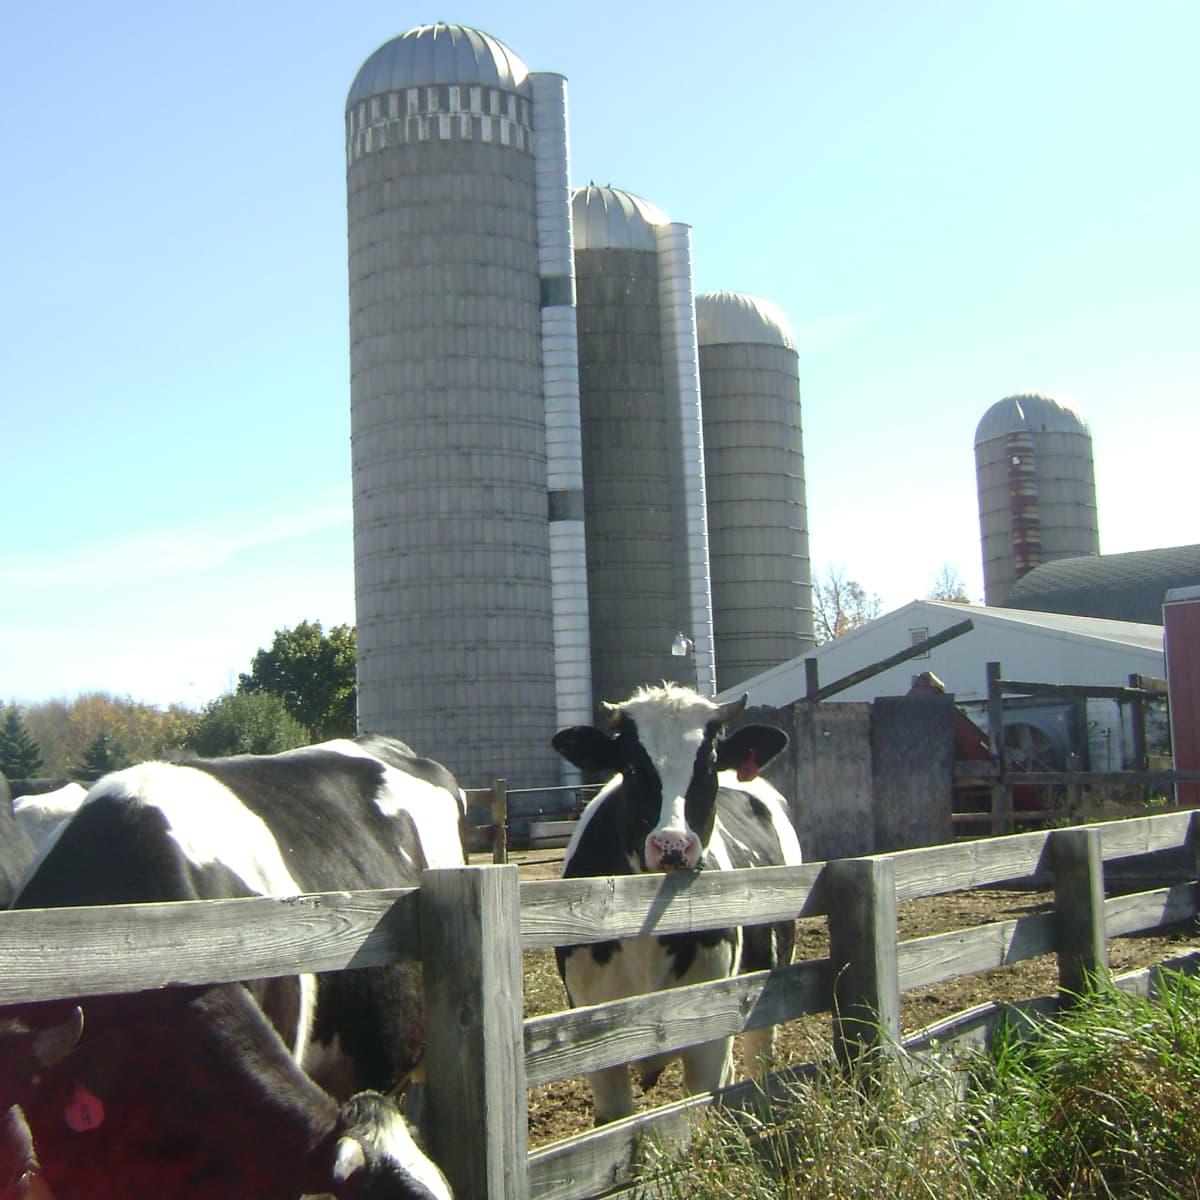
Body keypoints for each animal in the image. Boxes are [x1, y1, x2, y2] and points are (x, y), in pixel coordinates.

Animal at [554, 686, 806, 1123]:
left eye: (708, 765)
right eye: (632, 767)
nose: (672, 845)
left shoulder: (710, 1027)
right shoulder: (591, 1028)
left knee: (758, 1057)